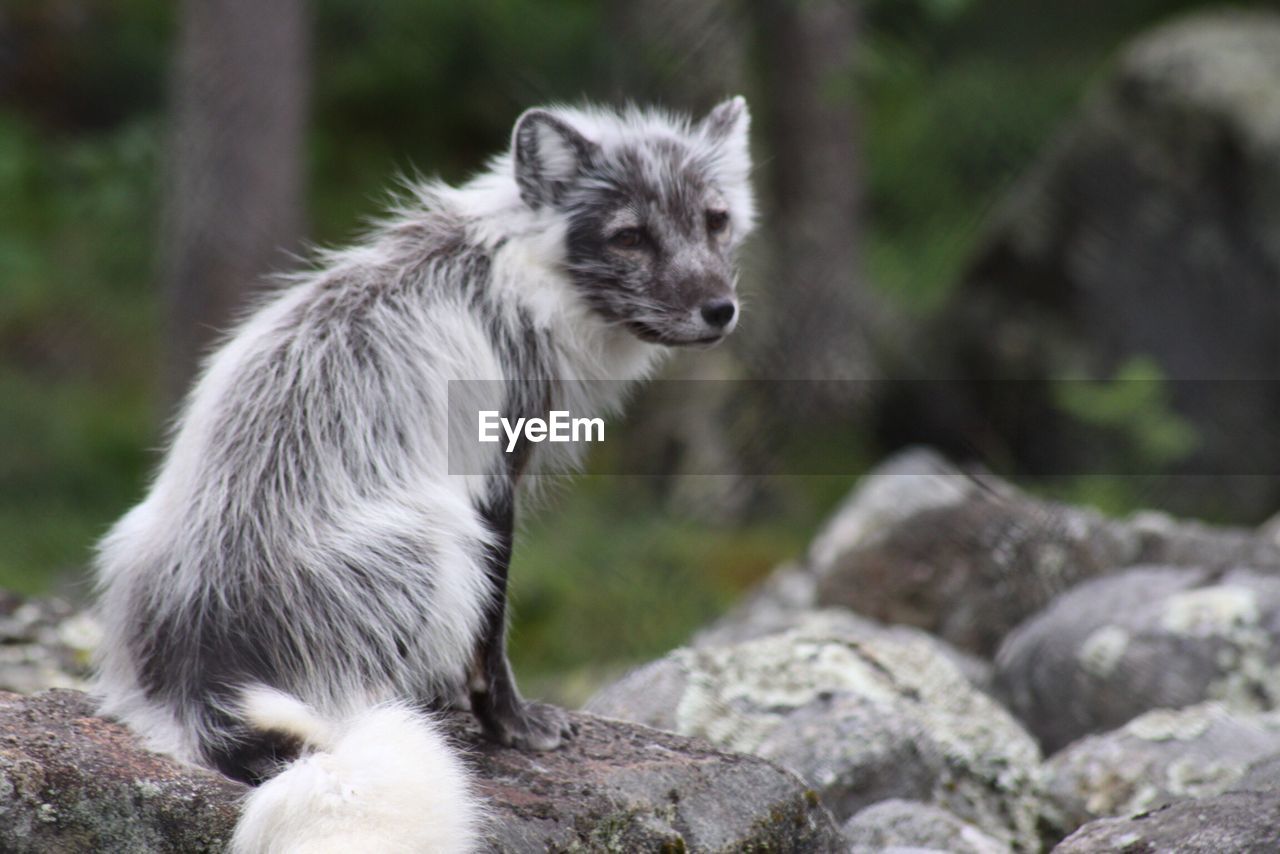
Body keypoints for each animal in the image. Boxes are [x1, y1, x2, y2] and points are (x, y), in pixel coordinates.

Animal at [94, 96, 752, 850]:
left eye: (715, 220)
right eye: (629, 237)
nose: (720, 311)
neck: (506, 273)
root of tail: (201, 669)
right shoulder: (495, 480)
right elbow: (492, 634)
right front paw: (513, 725)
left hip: (132, 535)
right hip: (437, 542)